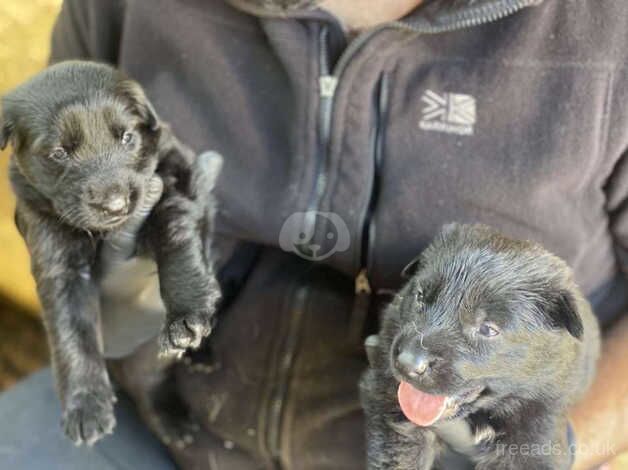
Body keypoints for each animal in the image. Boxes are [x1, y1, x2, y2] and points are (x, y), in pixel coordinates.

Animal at [1, 61, 222, 444]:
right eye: (59, 153)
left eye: (127, 138)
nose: (116, 205)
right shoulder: (56, 256)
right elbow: (72, 329)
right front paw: (86, 404)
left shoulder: (173, 180)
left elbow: (175, 233)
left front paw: (186, 314)